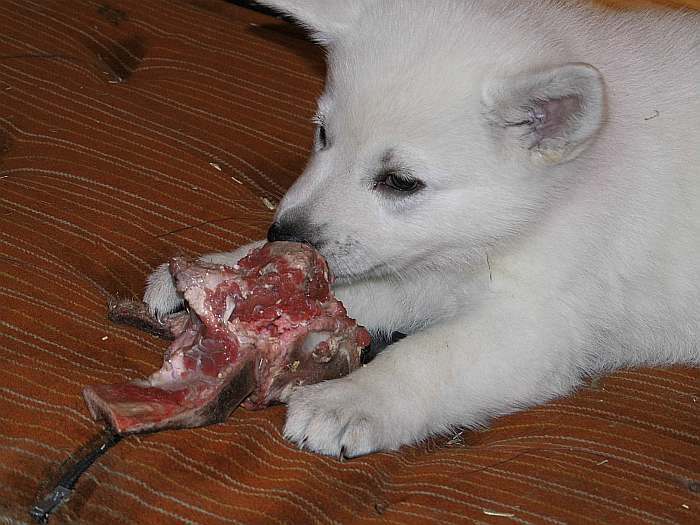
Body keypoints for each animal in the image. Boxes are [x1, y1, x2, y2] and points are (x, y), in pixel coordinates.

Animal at [144, 1, 700, 454]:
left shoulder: (537, 323)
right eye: (322, 135)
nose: (285, 233)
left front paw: (351, 401)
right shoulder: (420, 266)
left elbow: (428, 354)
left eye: (400, 182)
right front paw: (225, 275)